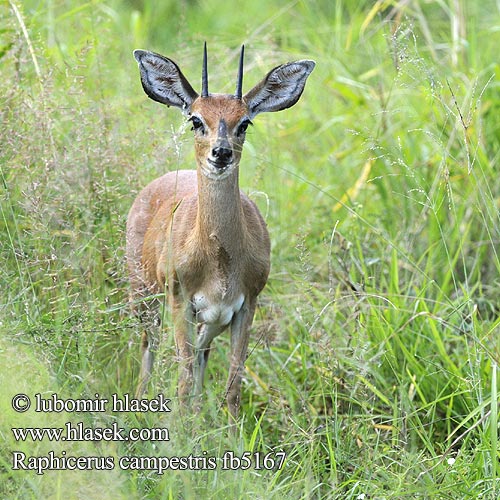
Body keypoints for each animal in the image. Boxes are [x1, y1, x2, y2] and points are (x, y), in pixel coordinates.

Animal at [127, 44, 314, 422]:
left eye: (245, 122)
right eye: (196, 120)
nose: (221, 152)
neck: (220, 258)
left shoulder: (244, 306)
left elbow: (232, 384)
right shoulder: (181, 301)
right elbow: (183, 379)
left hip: (209, 320)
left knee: (201, 356)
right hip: (144, 295)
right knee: (149, 346)